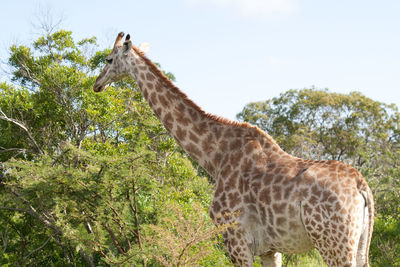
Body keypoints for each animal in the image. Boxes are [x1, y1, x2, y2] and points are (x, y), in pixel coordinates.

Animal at [94, 32, 376, 266]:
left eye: (109, 59)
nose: (97, 84)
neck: (214, 156)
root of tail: (361, 185)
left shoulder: (235, 237)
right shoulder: (269, 249)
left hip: (333, 242)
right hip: (359, 244)